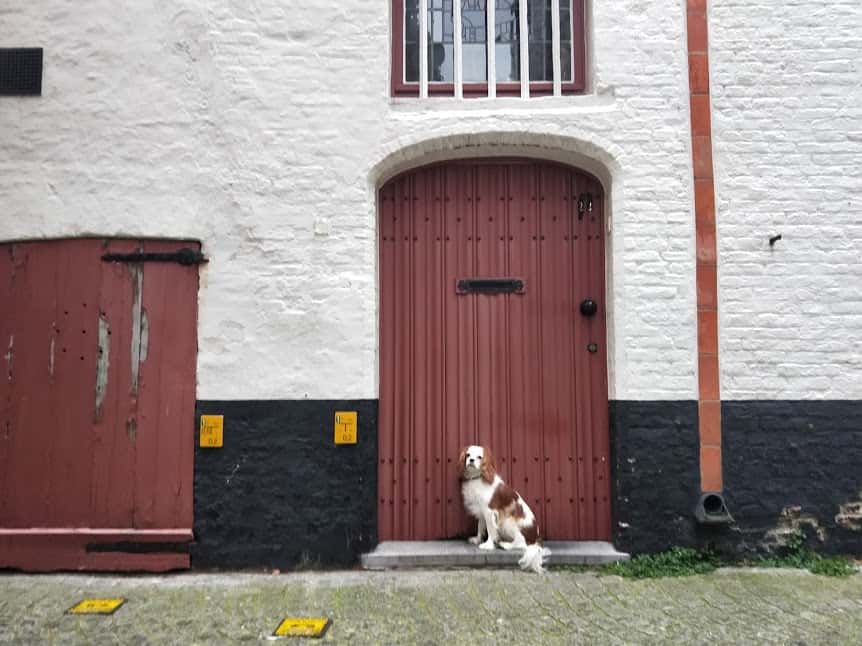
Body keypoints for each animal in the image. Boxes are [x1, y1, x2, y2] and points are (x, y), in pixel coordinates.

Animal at [462, 446, 552, 576]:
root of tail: (537, 537)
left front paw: (488, 545)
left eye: (479, 457)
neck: (478, 479)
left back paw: (505, 545)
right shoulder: (482, 510)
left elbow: (490, 530)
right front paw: (477, 539)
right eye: (468, 455)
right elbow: (480, 526)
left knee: (522, 543)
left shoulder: (490, 511)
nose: (471, 460)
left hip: (508, 522)